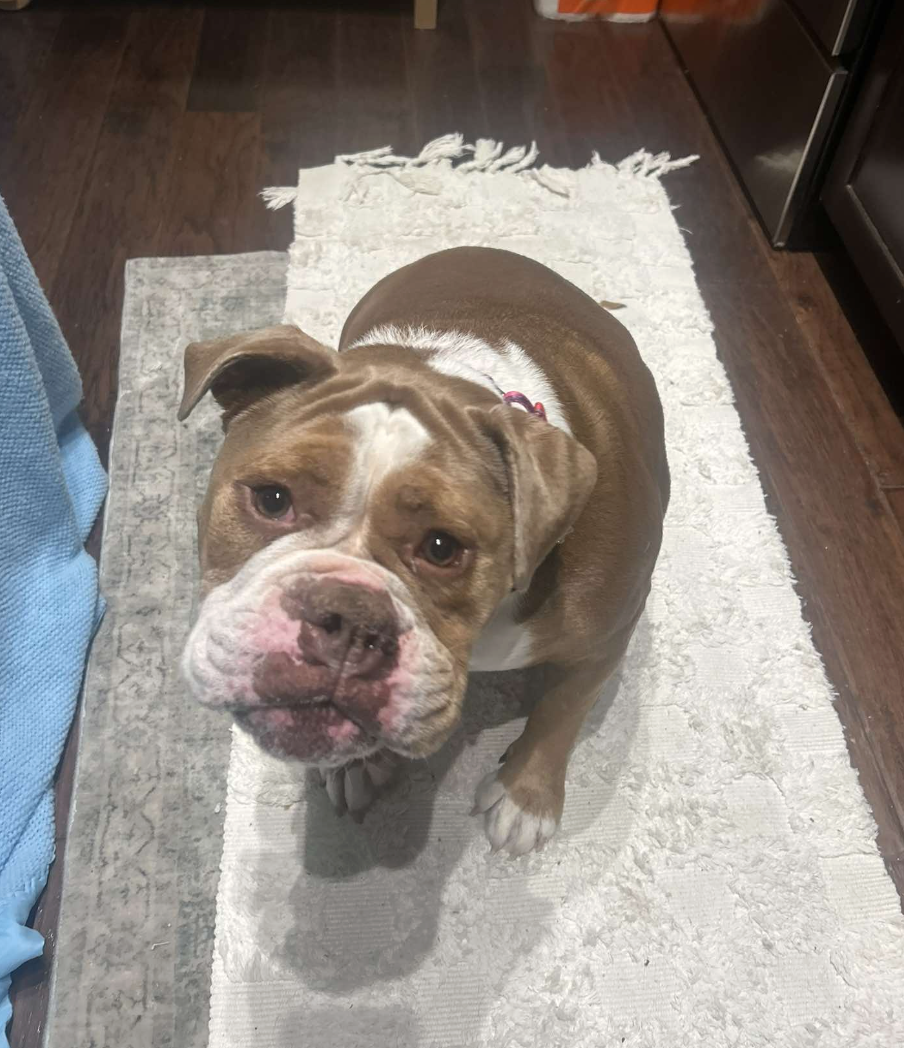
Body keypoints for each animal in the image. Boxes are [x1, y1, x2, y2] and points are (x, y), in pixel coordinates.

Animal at [179, 247, 669, 855]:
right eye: (272, 499)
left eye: (442, 547)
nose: (347, 616)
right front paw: (354, 766)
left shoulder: (606, 639)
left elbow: (563, 709)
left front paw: (525, 797)